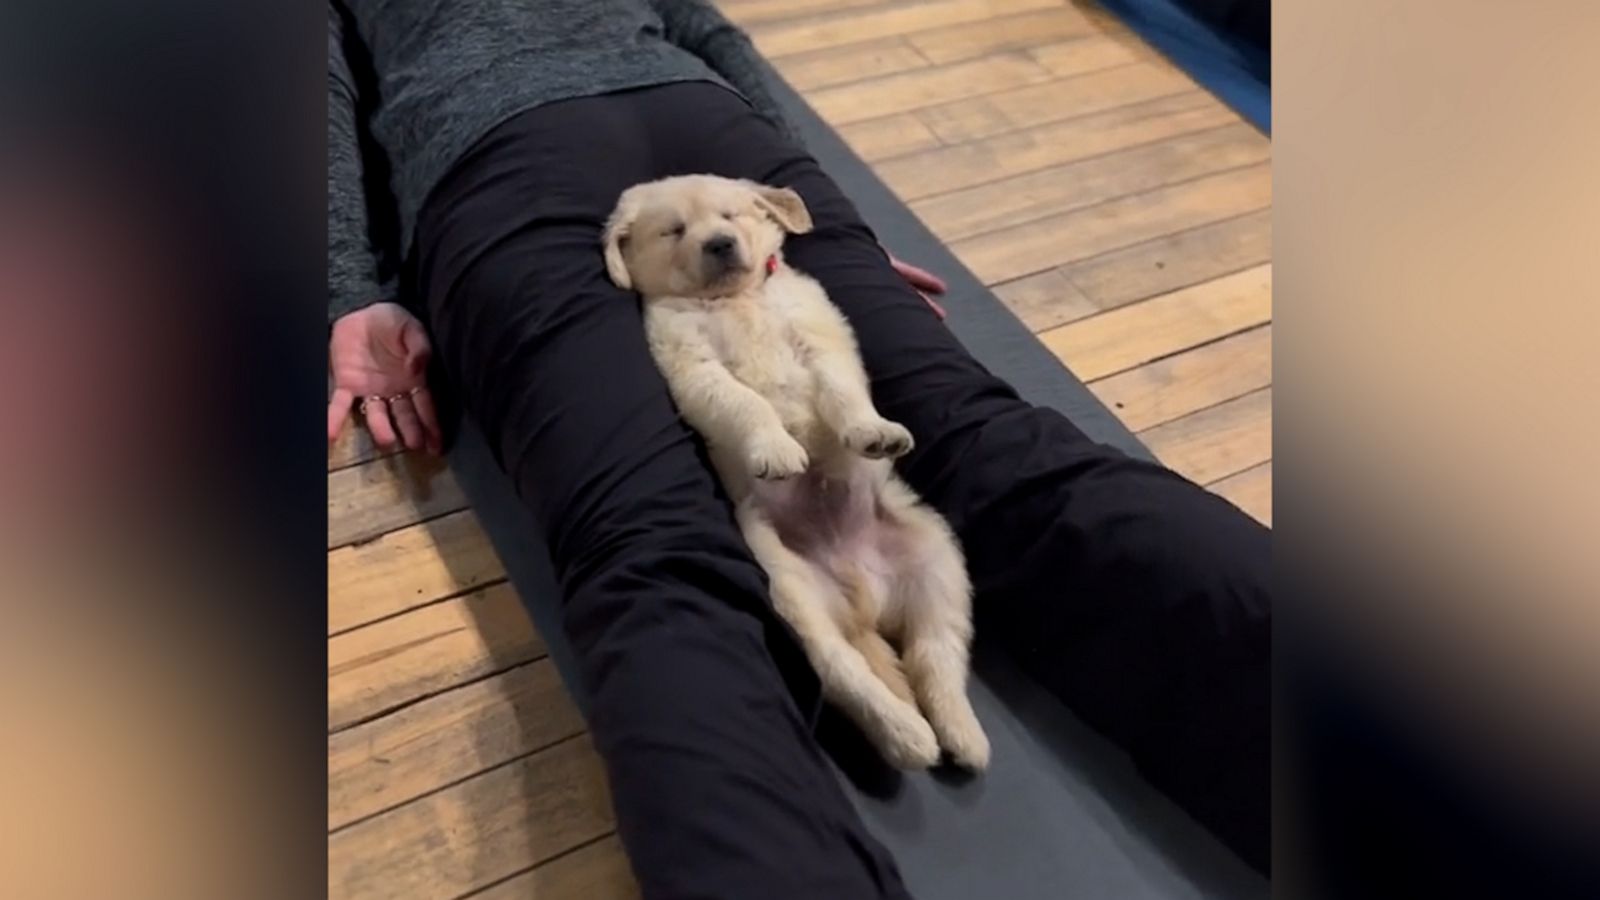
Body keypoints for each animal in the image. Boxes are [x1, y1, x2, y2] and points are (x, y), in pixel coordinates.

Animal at [601, 173, 985, 762]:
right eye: (675, 230)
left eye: (731, 216)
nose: (720, 244)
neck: (734, 298)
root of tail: (861, 599)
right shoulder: (691, 366)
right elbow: (746, 403)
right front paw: (777, 450)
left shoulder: (820, 336)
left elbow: (842, 391)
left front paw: (873, 432)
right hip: (792, 592)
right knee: (845, 668)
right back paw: (907, 734)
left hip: (936, 559)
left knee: (936, 651)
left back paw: (959, 732)